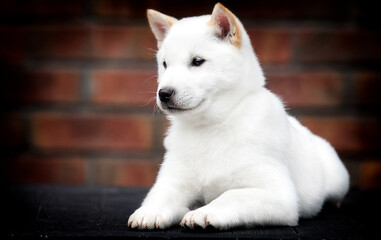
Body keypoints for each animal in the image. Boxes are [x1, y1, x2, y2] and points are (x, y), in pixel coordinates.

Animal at [127, 2, 348, 230]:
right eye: (164, 64)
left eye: (197, 61)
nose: (164, 93)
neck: (210, 127)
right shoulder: (173, 181)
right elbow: (160, 196)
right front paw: (150, 212)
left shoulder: (277, 194)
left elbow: (231, 196)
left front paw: (203, 213)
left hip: (338, 178)